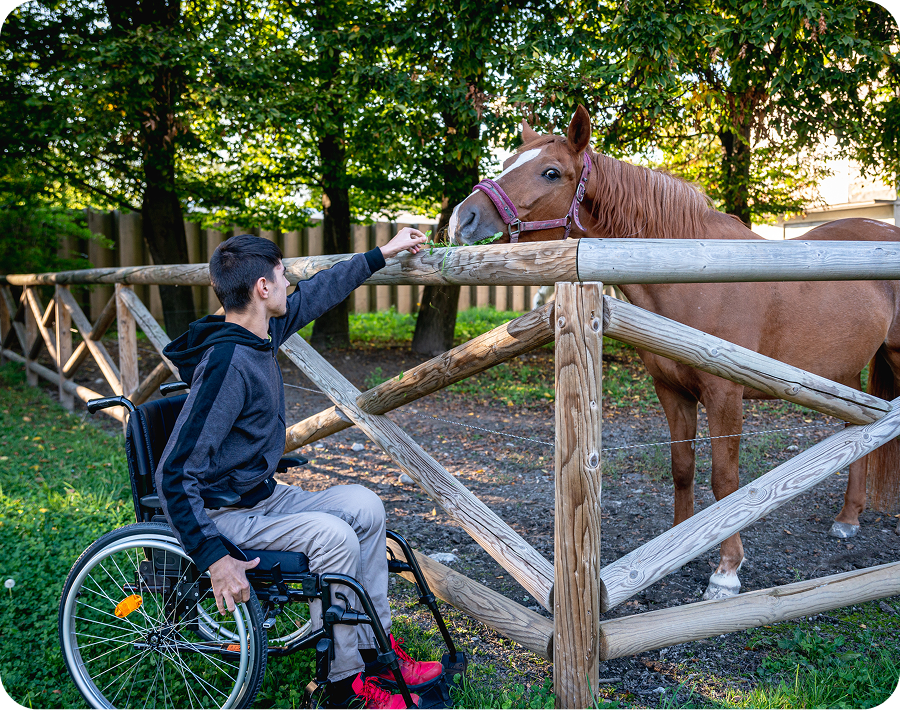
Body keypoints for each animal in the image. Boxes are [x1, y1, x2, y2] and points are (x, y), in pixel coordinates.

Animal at [448, 105, 900, 600]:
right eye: (509, 160)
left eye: (551, 172)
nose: (463, 218)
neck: (692, 271)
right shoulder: (671, 391)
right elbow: (682, 467)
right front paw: (678, 542)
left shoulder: (725, 396)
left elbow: (725, 480)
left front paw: (726, 571)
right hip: (844, 377)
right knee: (857, 430)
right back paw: (848, 517)